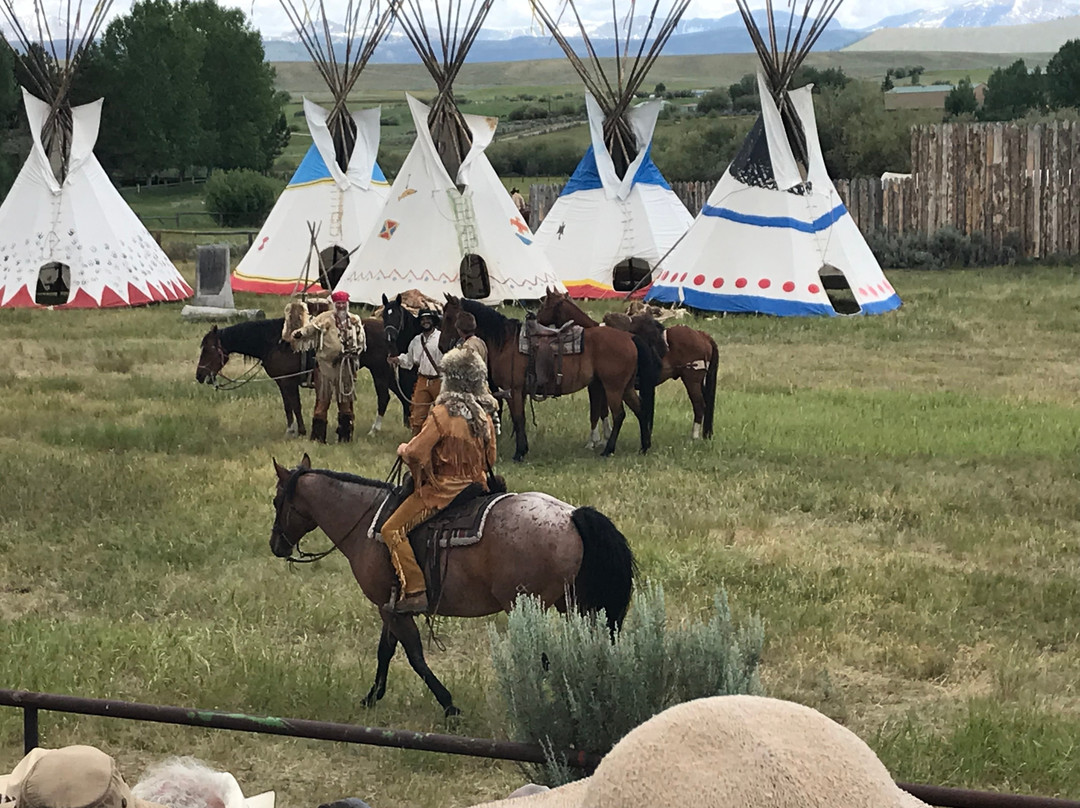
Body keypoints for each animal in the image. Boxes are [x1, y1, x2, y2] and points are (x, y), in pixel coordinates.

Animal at [194, 315, 408, 436]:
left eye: (209, 349)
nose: (199, 375)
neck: (275, 342)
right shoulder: (282, 382)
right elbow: (288, 406)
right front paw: (290, 430)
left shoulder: (288, 382)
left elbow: (295, 406)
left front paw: (302, 431)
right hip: (387, 371)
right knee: (399, 393)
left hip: (380, 371)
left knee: (384, 397)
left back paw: (375, 429)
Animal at [270, 453, 635, 712]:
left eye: (276, 501)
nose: (276, 546)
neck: (366, 524)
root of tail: (571, 515)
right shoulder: (393, 605)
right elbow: (386, 651)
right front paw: (372, 697)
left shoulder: (389, 608)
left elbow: (413, 655)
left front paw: (448, 704)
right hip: (576, 606)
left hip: (531, 606)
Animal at [436, 295, 656, 460]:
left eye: (448, 317)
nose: (441, 345)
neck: (505, 342)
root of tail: (629, 337)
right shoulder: (519, 392)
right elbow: (520, 419)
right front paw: (523, 449)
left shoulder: (513, 390)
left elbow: (518, 419)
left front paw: (519, 453)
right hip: (625, 388)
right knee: (640, 410)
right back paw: (644, 447)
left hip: (613, 388)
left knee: (619, 415)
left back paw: (608, 450)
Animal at [537, 291, 721, 442]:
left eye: (545, 305)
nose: (535, 319)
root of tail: (702, 335)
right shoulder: (604, 385)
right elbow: (603, 411)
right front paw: (605, 436)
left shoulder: (595, 385)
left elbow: (595, 411)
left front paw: (594, 440)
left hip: (691, 380)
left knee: (699, 405)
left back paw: (693, 437)